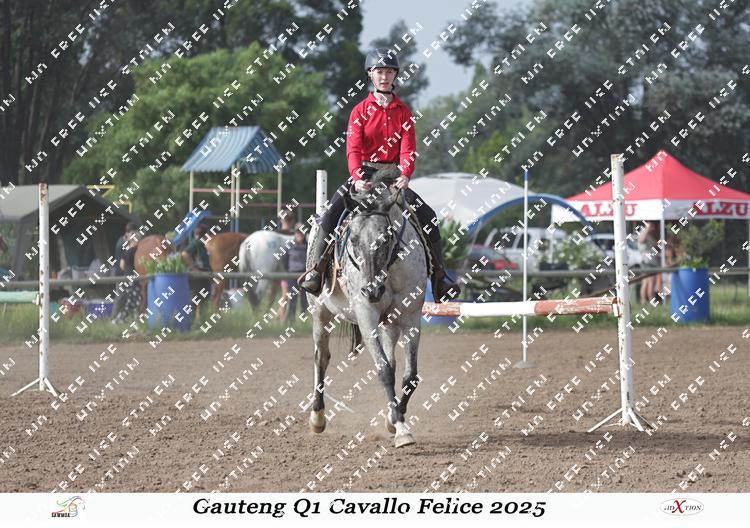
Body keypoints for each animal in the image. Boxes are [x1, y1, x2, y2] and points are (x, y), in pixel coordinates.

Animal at [307, 171, 428, 448]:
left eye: (387, 237)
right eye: (353, 239)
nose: (372, 290)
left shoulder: (411, 316)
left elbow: (409, 376)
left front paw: (394, 419)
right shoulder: (366, 316)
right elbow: (384, 371)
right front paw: (401, 429)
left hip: (390, 323)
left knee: (393, 359)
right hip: (320, 314)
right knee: (321, 357)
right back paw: (317, 417)